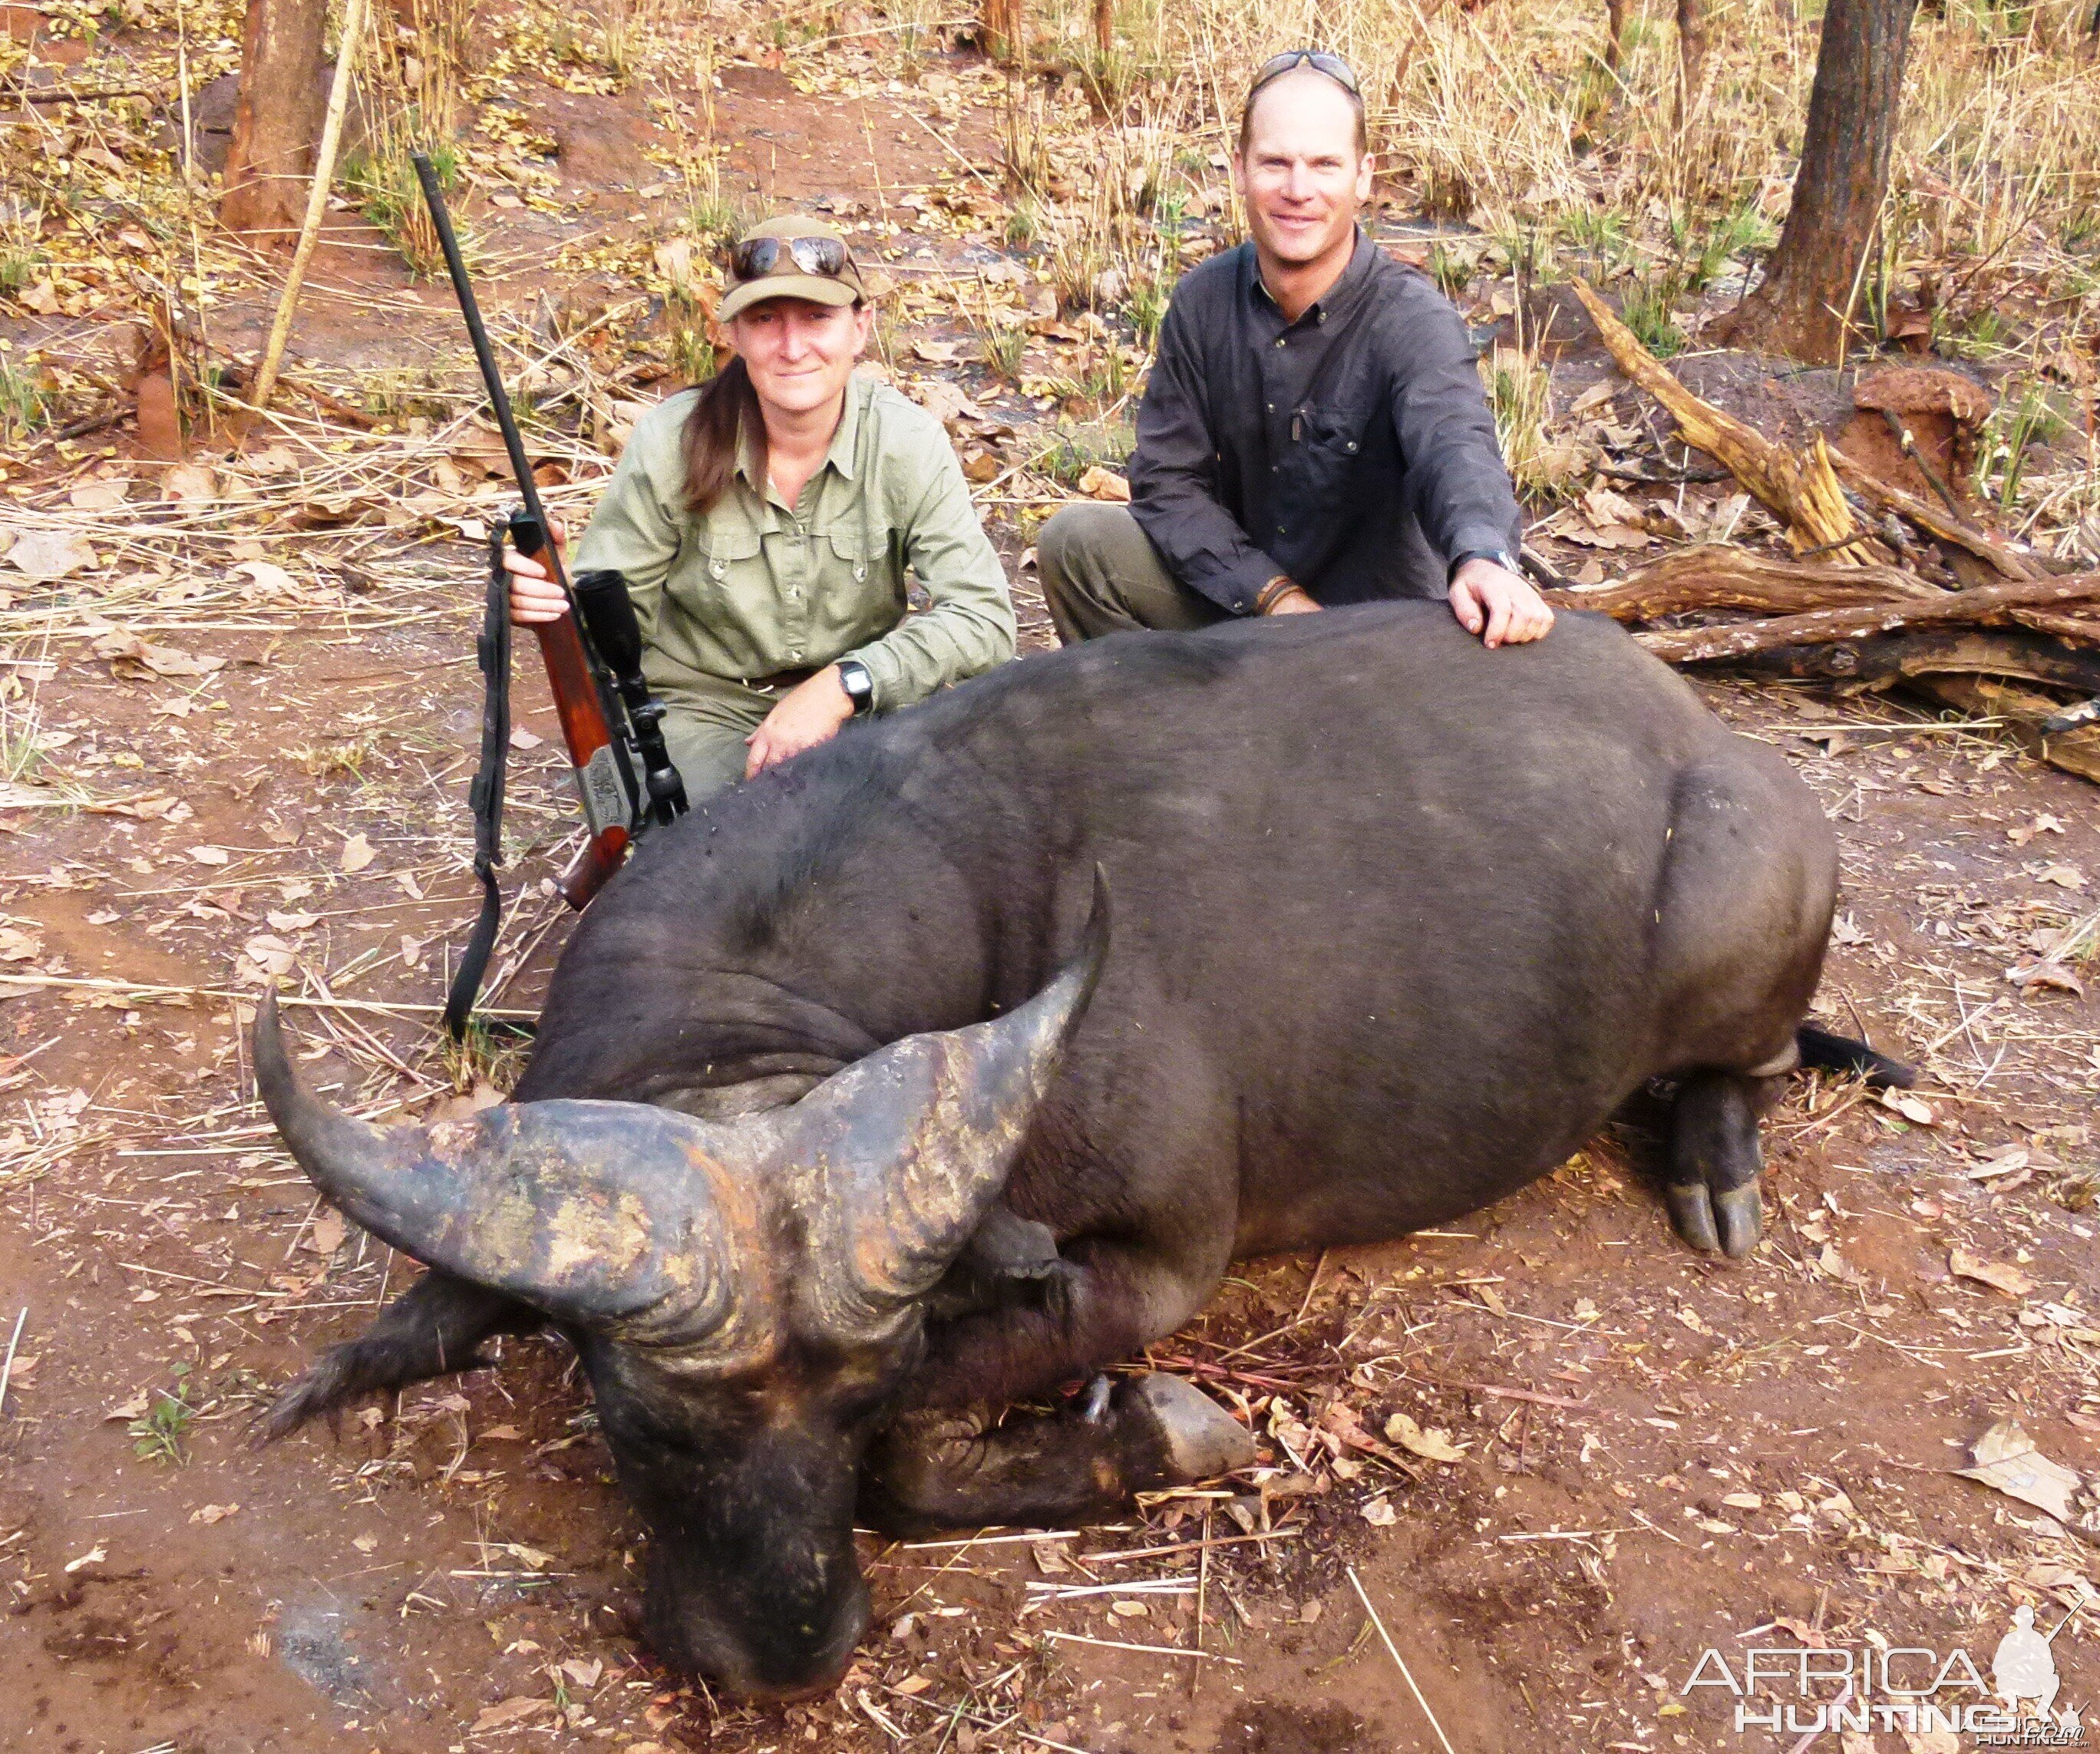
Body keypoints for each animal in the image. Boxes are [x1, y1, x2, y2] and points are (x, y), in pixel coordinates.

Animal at [254, 600, 1898, 1697]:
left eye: (853, 1406)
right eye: (643, 1429)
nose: (791, 1656)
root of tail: (1710, 738)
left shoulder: (1158, 1266)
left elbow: (929, 1449)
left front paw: (1157, 1435)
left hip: (1737, 941)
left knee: (1745, 1067)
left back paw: (1714, 1167)